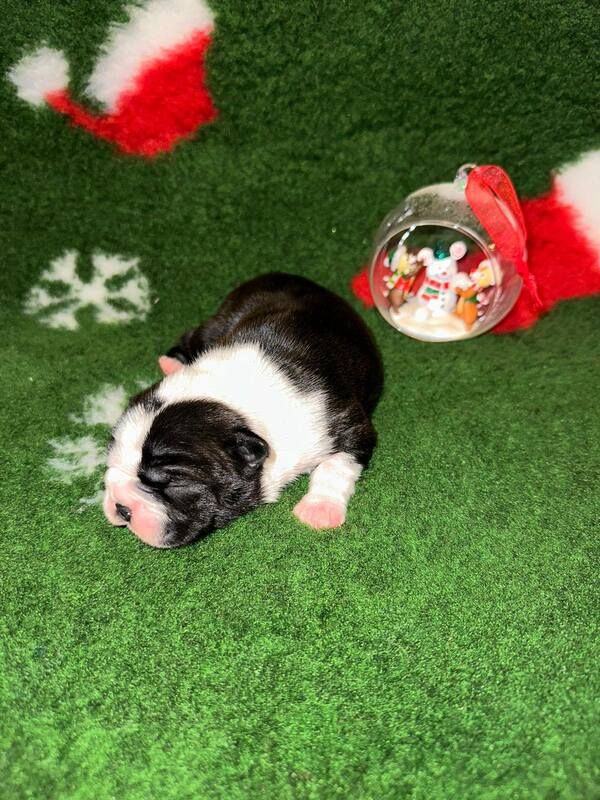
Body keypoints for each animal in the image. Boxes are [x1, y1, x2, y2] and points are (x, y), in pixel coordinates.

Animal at [102, 272, 384, 548]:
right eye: (111, 463)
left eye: (169, 483)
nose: (121, 507)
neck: (233, 395)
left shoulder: (345, 421)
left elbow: (337, 463)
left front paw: (319, 510)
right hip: (217, 321)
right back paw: (171, 363)